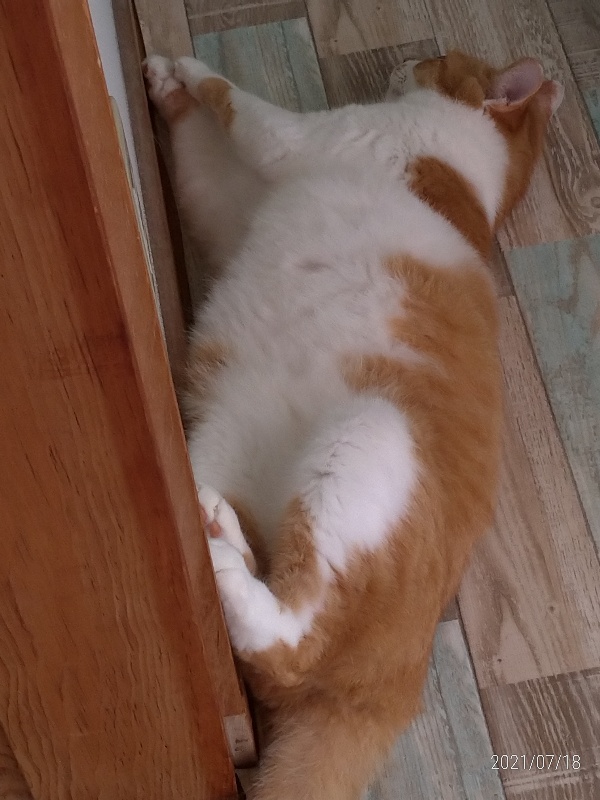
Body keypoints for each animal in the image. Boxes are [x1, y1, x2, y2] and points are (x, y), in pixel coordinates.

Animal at [144, 50, 563, 800]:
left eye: (441, 58)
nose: (409, 57)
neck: (473, 180)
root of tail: (397, 682)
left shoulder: (307, 139)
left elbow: (234, 103)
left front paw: (183, 71)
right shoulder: (230, 203)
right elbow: (201, 161)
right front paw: (166, 89)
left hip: (364, 439)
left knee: (293, 641)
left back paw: (225, 568)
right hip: (222, 449)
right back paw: (220, 534)